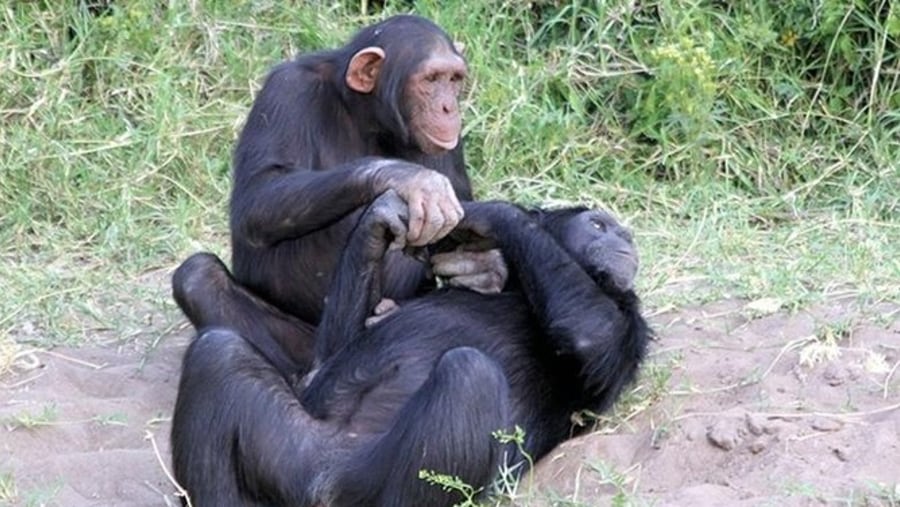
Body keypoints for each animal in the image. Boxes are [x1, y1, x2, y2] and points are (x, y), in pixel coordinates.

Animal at [171, 191, 648, 507]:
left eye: (614, 228)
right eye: (598, 225)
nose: (625, 237)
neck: (519, 285)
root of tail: (323, 487)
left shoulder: (627, 327)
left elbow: (592, 332)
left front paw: (486, 215)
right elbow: (322, 363)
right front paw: (382, 218)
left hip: (362, 485)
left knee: (468, 374)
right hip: (292, 456)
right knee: (220, 352)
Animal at [176, 14, 506, 378]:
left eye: (454, 79)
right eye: (431, 79)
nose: (449, 107)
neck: (365, 115)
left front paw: (480, 266)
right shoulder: (287, 90)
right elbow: (260, 193)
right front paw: (412, 180)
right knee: (199, 277)